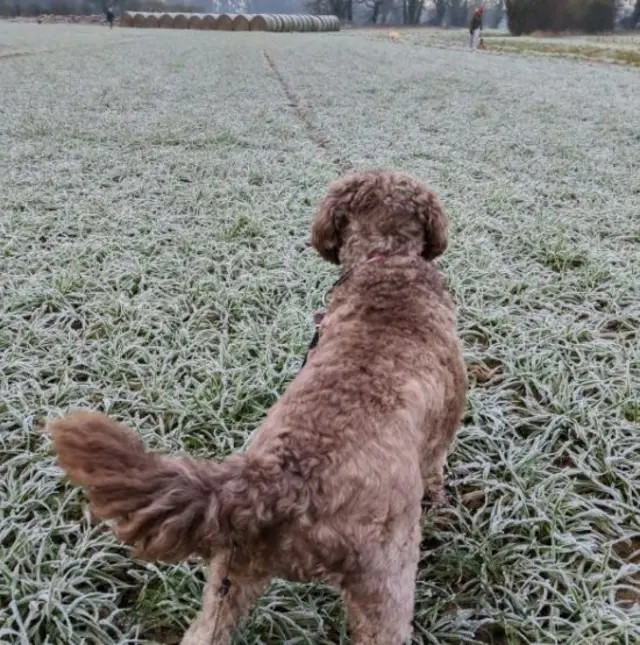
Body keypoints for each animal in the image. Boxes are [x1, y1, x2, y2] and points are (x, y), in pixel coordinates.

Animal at [50, 169, 468, 640]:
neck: (385, 263)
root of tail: (277, 480)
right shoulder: (439, 436)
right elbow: (436, 469)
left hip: (232, 572)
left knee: (204, 632)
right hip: (384, 579)